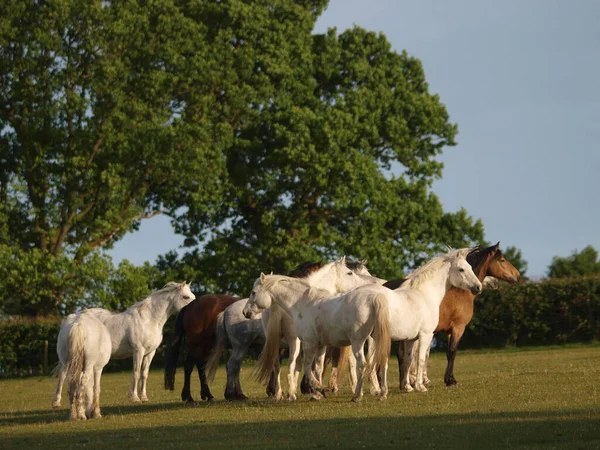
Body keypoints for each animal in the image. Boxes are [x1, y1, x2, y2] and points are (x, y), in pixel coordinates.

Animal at [52, 282, 195, 408]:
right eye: (186, 297)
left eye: (192, 295)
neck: (148, 320)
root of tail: (73, 320)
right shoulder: (138, 351)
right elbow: (136, 373)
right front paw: (135, 398)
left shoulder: (150, 353)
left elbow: (144, 374)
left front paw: (144, 397)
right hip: (68, 359)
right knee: (63, 375)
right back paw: (57, 402)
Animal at [390, 243, 520, 386]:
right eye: (502, 260)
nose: (518, 276)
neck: (459, 291)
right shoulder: (458, 328)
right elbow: (452, 352)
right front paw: (450, 380)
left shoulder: (448, 331)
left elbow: (446, 353)